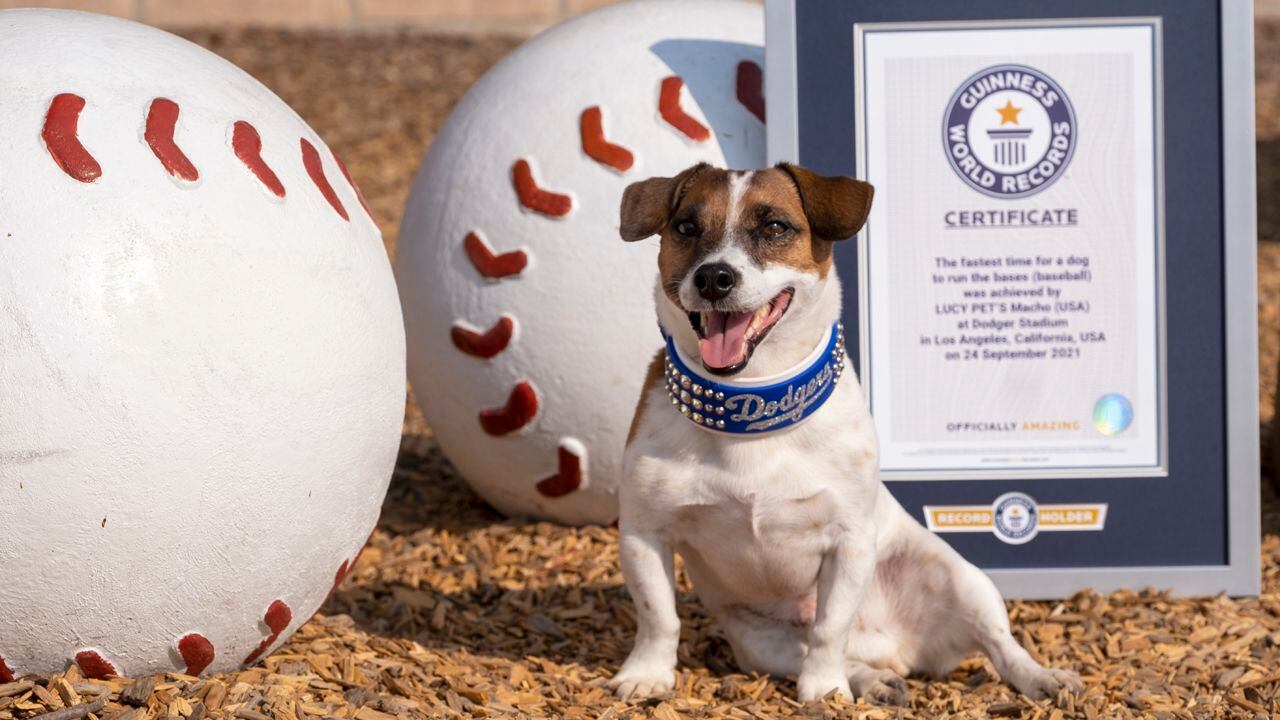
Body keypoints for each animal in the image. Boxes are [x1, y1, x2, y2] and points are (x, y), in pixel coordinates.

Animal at [609, 161, 1080, 702]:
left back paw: (1042, 677)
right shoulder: (644, 534)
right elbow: (658, 617)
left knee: (1000, 644)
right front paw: (647, 674)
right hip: (762, 643)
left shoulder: (848, 542)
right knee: (827, 654)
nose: (713, 277)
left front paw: (823, 689)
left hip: (963, 580)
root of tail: (893, 647)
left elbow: (829, 627)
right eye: (685, 227)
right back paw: (872, 681)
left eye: (775, 227)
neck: (750, 403)